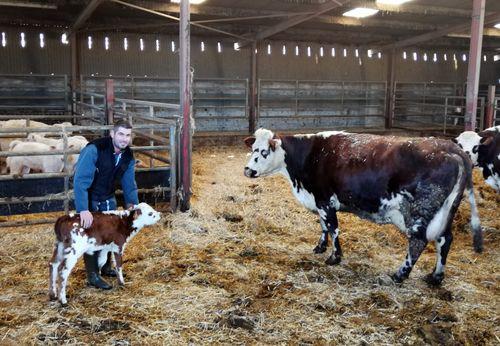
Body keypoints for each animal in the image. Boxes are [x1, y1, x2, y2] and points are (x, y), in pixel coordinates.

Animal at [244, 128, 482, 286]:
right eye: (253, 148)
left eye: (264, 152)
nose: (247, 170)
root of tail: (452, 149)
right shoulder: (319, 200)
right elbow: (323, 226)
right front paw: (320, 247)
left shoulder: (325, 200)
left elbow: (333, 228)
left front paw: (334, 257)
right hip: (446, 211)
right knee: (445, 240)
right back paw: (435, 277)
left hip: (420, 210)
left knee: (418, 242)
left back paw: (400, 274)